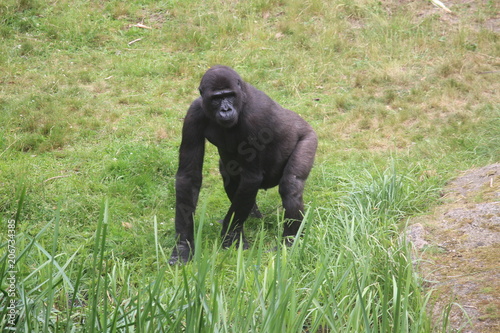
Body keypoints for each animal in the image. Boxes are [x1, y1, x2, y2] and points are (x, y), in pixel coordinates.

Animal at [168, 65, 316, 264]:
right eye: (216, 98)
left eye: (229, 95)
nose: (226, 109)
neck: (241, 97)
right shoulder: (194, 114)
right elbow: (189, 176)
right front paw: (183, 245)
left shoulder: (255, 118)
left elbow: (251, 177)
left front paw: (229, 235)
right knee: (230, 176)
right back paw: (253, 218)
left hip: (309, 138)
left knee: (290, 185)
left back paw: (289, 242)